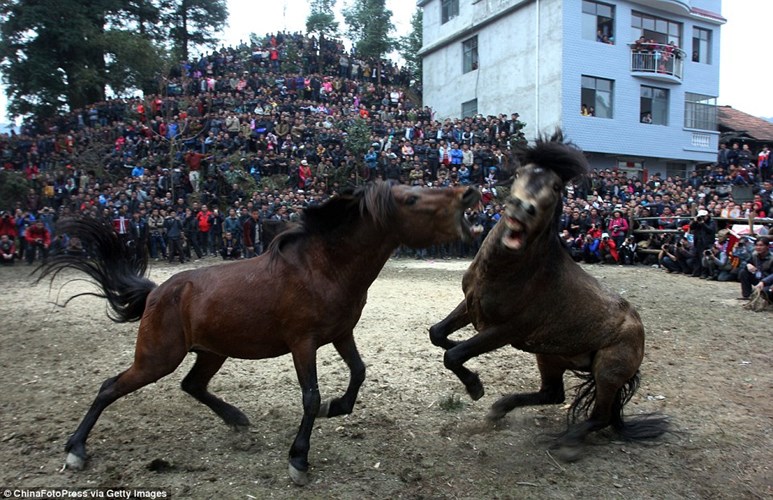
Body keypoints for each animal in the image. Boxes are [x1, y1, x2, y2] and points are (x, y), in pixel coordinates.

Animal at [42, 182, 480, 486]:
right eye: (411, 199)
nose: (468, 193)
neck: (324, 268)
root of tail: (155, 292)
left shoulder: (341, 333)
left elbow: (359, 373)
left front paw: (338, 407)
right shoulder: (302, 343)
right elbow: (310, 397)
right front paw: (298, 459)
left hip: (212, 351)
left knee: (192, 385)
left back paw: (236, 419)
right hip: (157, 357)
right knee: (110, 387)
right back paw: (76, 450)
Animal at [432, 132, 668, 458]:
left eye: (556, 186)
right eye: (519, 174)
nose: (522, 207)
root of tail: (639, 326)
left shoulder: (507, 329)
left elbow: (453, 355)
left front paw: (475, 387)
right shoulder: (471, 305)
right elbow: (438, 335)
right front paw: (459, 350)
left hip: (607, 370)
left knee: (600, 415)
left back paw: (567, 443)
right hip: (550, 356)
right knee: (554, 394)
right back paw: (499, 409)